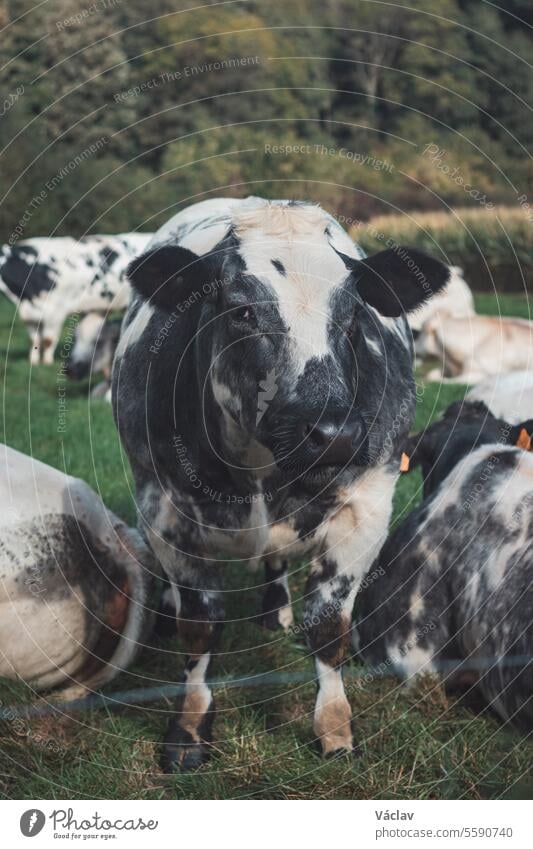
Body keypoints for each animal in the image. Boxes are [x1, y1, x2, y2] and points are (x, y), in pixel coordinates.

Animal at [0, 232, 150, 364]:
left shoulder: (54, 312)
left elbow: (48, 340)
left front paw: (47, 362)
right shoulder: (30, 317)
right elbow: (34, 340)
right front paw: (34, 361)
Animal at [112, 194, 448, 768]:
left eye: (353, 315)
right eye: (241, 312)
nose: (334, 433)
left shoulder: (365, 509)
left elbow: (329, 627)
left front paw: (334, 727)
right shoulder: (165, 508)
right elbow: (201, 627)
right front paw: (189, 729)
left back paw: (275, 610)